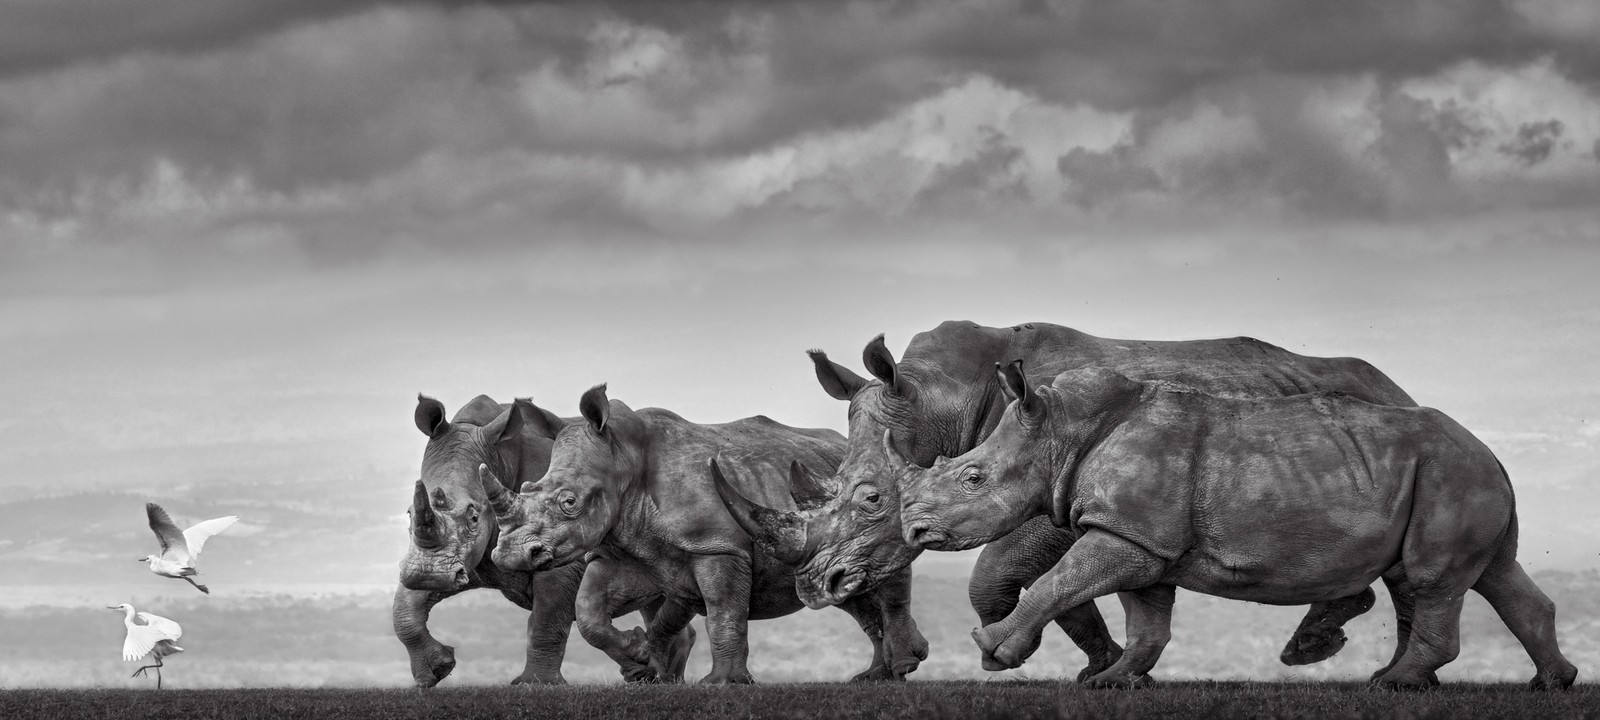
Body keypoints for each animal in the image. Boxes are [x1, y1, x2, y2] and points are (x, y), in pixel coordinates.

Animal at [395, 394, 694, 687]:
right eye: (409, 514)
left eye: (474, 517)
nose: (428, 575)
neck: (499, 458)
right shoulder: (463, 559)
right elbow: (404, 605)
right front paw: (436, 670)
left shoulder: (562, 548)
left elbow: (546, 618)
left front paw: (536, 684)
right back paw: (656, 679)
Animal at [483, 384, 929, 683]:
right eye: (528, 488)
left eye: (569, 502)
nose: (510, 555)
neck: (623, 458)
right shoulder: (621, 551)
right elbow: (590, 610)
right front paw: (641, 660)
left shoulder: (719, 547)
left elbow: (723, 611)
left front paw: (723, 684)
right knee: (848, 589)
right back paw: (876, 676)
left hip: (872, 508)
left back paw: (899, 667)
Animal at [727, 321, 1420, 680]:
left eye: (873, 498)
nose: (818, 584)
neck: (939, 399)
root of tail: (1400, 388)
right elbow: (1050, 579)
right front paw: (1104, 667)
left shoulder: (1053, 480)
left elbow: (1002, 570)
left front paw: (1031, 656)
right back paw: (1316, 645)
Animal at [897, 362, 1578, 690]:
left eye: (974, 478)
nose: (915, 533)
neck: (1060, 431)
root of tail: (1492, 452)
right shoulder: (1141, 537)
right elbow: (1147, 619)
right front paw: (1114, 682)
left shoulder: (1129, 534)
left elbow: (1056, 582)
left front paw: (992, 654)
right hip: (1456, 474)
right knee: (1493, 575)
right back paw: (1551, 683)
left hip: (1450, 474)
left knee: (1433, 579)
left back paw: (1393, 685)